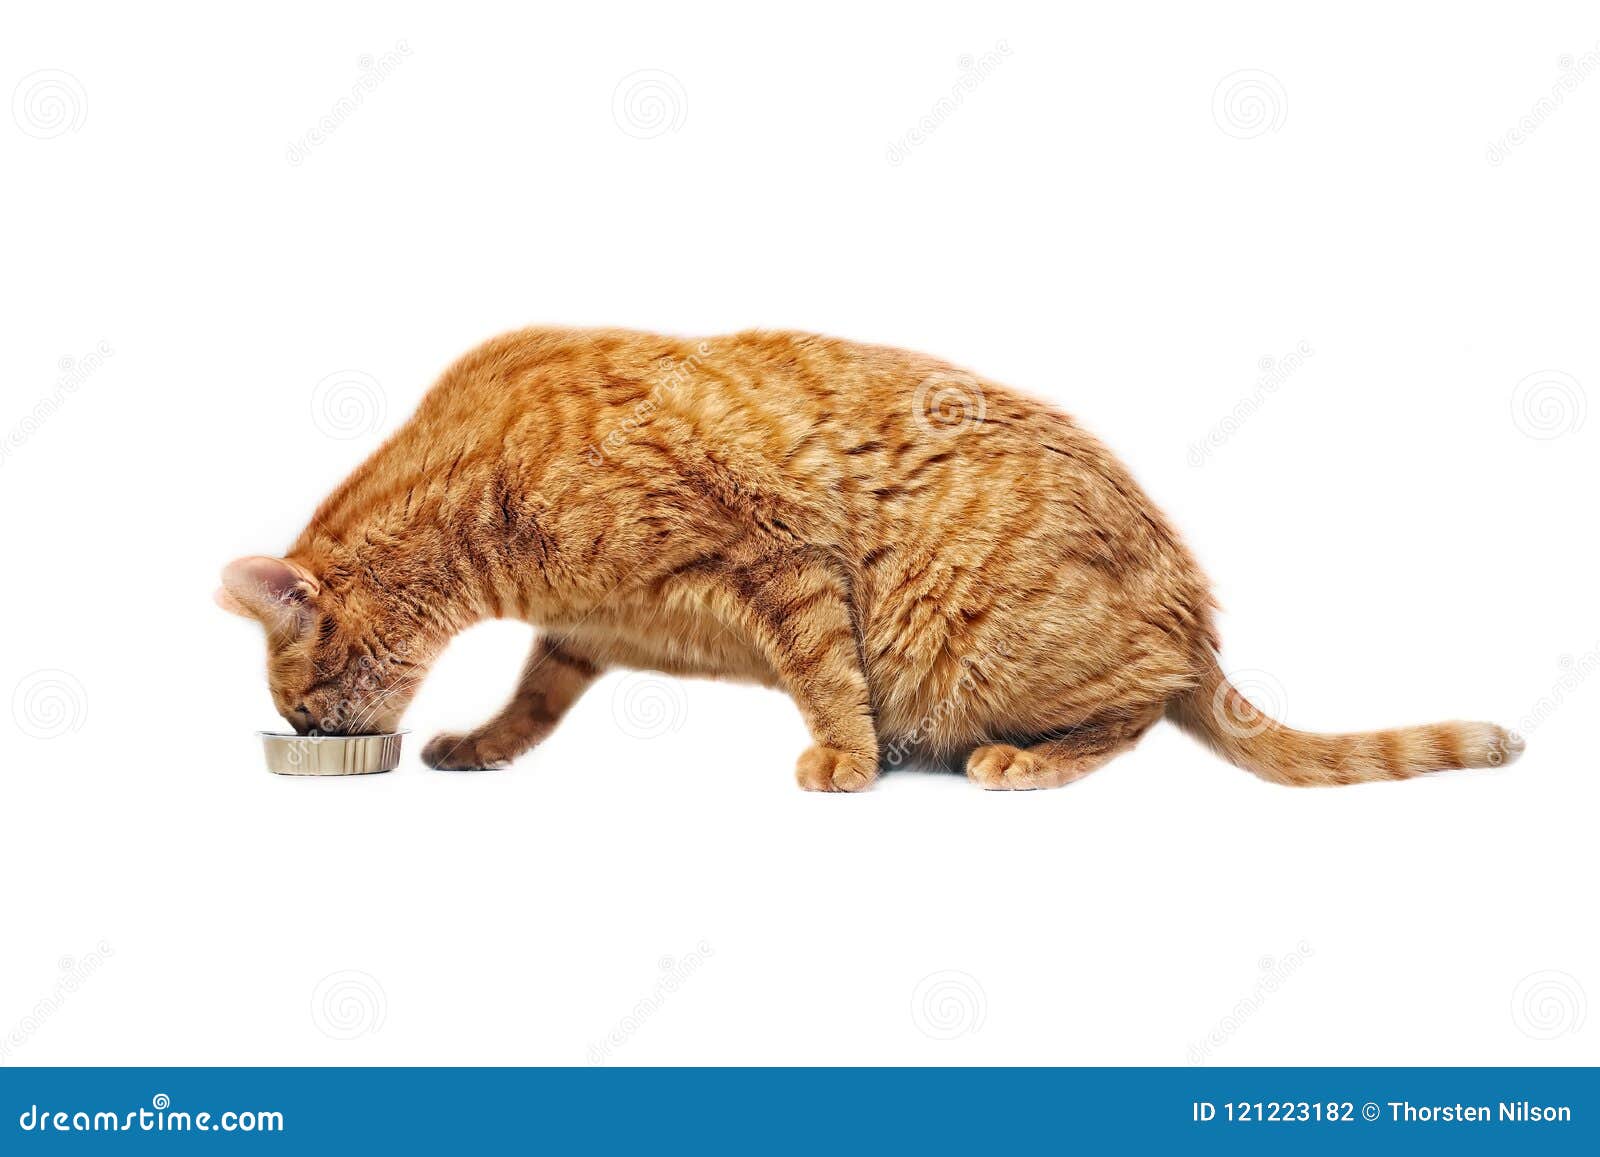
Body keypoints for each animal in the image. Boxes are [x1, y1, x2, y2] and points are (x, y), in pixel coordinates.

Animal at [216, 329, 1523, 790]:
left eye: (304, 703)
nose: (316, 740)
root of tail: (1192, 612)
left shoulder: (782, 555)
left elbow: (827, 676)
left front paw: (843, 757)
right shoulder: (582, 632)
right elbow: (530, 702)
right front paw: (481, 744)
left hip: (996, 646)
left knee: (1140, 711)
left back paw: (1018, 760)